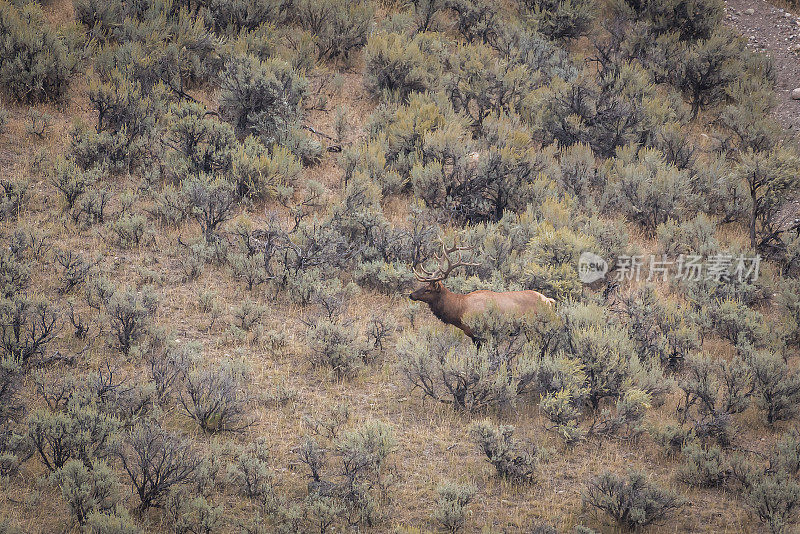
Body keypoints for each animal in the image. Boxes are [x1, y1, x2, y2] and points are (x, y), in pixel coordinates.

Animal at [410, 241, 552, 342]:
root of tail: (549, 301)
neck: (459, 311)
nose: (411, 295)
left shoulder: (481, 333)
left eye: (428, 290)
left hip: (536, 326)